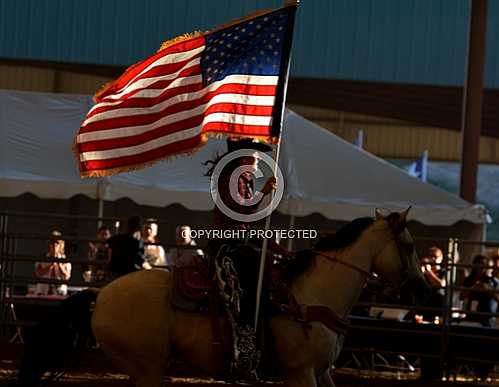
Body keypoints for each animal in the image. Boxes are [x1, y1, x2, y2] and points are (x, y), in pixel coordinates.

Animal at [89, 209, 426, 387]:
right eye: (409, 246)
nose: (420, 286)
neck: (314, 295)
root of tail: (101, 296)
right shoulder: (300, 373)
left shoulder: (323, 371)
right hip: (149, 368)